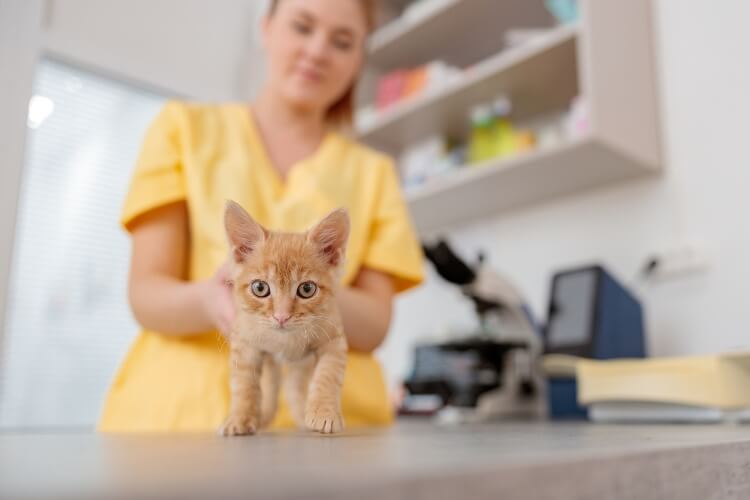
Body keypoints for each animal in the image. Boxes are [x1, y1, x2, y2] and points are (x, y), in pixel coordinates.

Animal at [220, 201, 350, 436]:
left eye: (307, 289)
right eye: (260, 288)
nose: (281, 316)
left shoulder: (333, 338)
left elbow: (327, 375)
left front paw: (324, 414)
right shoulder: (244, 342)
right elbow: (244, 384)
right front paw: (240, 417)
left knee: (294, 383)